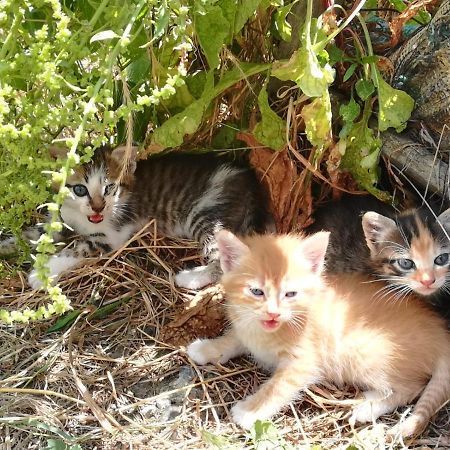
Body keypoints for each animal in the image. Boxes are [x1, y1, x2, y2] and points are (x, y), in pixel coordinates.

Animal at [0, 146, 272, 290]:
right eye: (79, 190)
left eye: (110, 188)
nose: (98, 208)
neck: (81, 218)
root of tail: (250, 182)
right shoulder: (59, 221)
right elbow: (32, 234)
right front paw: (8, 244)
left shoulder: (109, 238)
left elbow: (77, 248)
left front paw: (41, 273)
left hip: (206, 216)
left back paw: (191, 278)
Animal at [188, 230, 450, 438]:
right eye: (256, 292)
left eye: (290, 294)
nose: (273, 314)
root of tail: (442, 335)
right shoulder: (248, 326)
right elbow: (234, 338)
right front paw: (206, 348)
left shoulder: (303, 363)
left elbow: (277, 387)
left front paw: (249, 410)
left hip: (362, 353)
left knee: (412, 387)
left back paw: (368, 407)